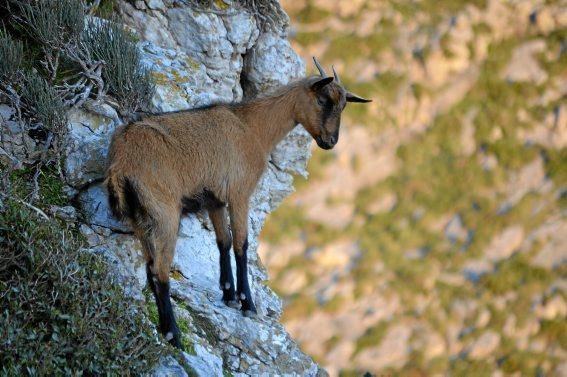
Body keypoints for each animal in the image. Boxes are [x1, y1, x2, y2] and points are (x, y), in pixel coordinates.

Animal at [105, 57, 372, 348]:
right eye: (323, 100)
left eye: (344, 105)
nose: (330, 142)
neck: (253, 127)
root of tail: (121, 161)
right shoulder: (239, 194)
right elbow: (241, 244)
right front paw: (247, 303)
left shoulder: (215, 201)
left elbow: (223, 241)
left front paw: (229, 295)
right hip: (164, 213)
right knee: (160, 271)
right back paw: (173, 335)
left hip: (141, 217)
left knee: (150, 268)